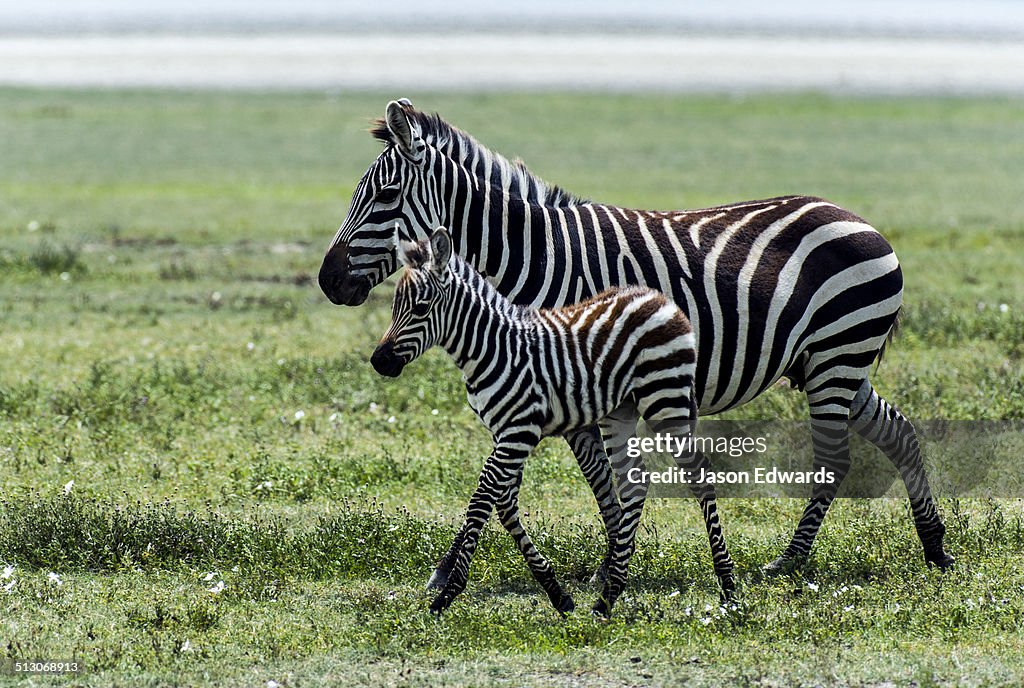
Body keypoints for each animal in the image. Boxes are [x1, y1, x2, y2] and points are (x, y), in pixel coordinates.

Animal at [317, 99, 950, 573]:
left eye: (384, 197)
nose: (327, 281)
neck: (537, 257)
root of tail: (859, 219)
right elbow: (596, 477)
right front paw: (612, 559)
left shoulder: (578, 374)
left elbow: (602, 476)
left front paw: (614, 562)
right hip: (831, 361)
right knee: (897, 431)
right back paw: (935, 546)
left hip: (837, 355)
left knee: (835, 457)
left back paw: (790, 563)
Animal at [370, 227, 737, 618]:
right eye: (394, 307)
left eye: (421, 308)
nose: (379, 362)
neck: (491, 348)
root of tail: (658, 298)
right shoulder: (505, 432)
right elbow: (504, 503)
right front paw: (557, 592)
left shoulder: (519, 431)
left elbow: (483, 498)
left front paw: (447, 594)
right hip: (621, 410)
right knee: (634, 482)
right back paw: (608, 597)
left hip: (665, 395)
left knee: (698, 473)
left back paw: (728, 586)